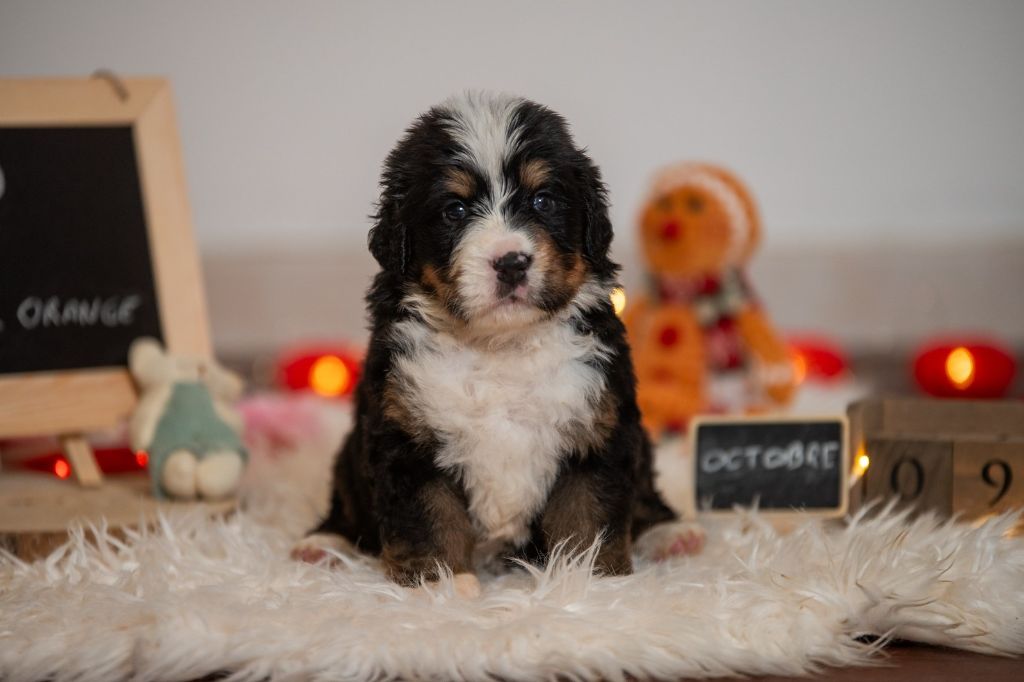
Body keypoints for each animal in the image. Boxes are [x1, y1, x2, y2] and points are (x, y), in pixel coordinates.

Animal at [293, 93, 703, 594]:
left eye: (543, 200)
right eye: (455, 210)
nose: (511, 262)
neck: (500, 348)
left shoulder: (597, 429)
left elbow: (587, 515)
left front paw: (587, 584)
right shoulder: (405, 437)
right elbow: (429, 520)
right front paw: (442, 588)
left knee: (645, 494)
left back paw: (670, 534)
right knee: (346, 504)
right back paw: (323, 545)